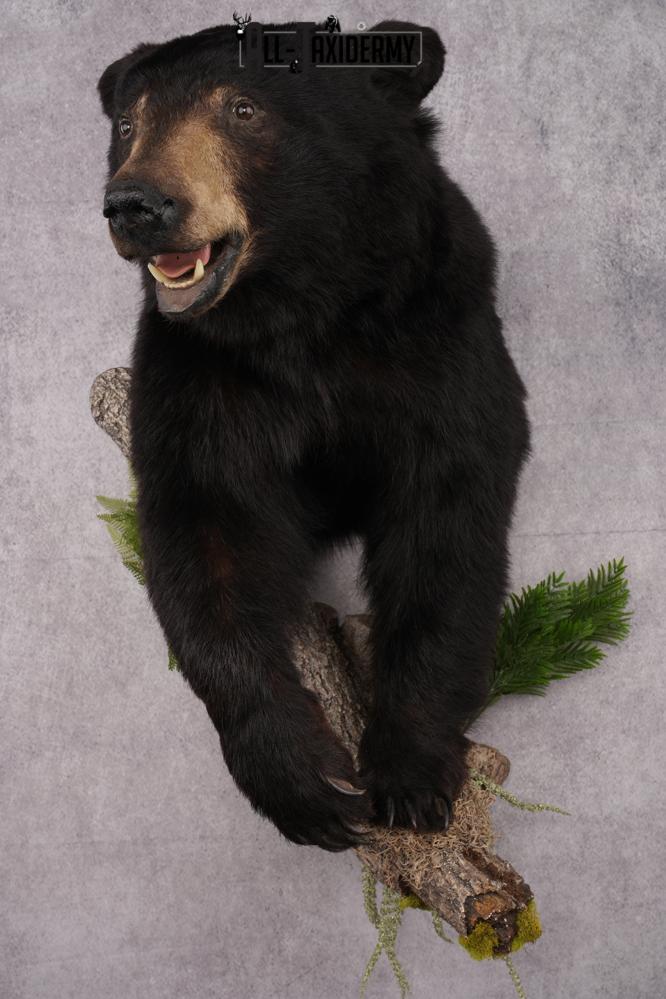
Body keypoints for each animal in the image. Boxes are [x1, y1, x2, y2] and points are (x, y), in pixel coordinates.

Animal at [97, 19, 531, 852]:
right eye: (129, 123)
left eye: (241, 109)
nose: (136, 203)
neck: (302, 315)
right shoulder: (202, 377)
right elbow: (206, 538)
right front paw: (302, 781)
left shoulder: (439, 344)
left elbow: (447, 526)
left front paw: (411, 773)